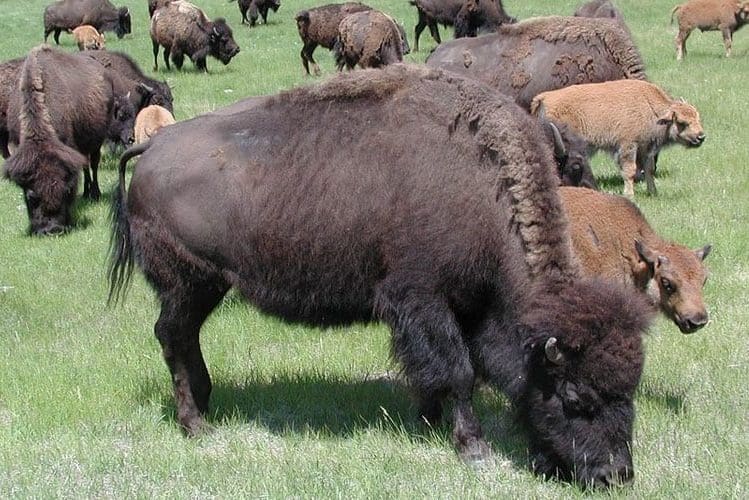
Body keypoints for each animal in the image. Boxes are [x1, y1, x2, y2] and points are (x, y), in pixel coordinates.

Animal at [110, 64, 652, 488]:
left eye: (631, 390)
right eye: (575, 396)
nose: (615, 474)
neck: (481, 184)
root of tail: (151, 150)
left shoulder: (458, 309)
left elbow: (441, 370)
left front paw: (430, 422)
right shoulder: (424, 298)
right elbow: (458, 371)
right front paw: (472, 447)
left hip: (205, 288)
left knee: (185, 338)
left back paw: (205, 405)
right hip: (189, 284)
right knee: (172, 336)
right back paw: (195, 424)